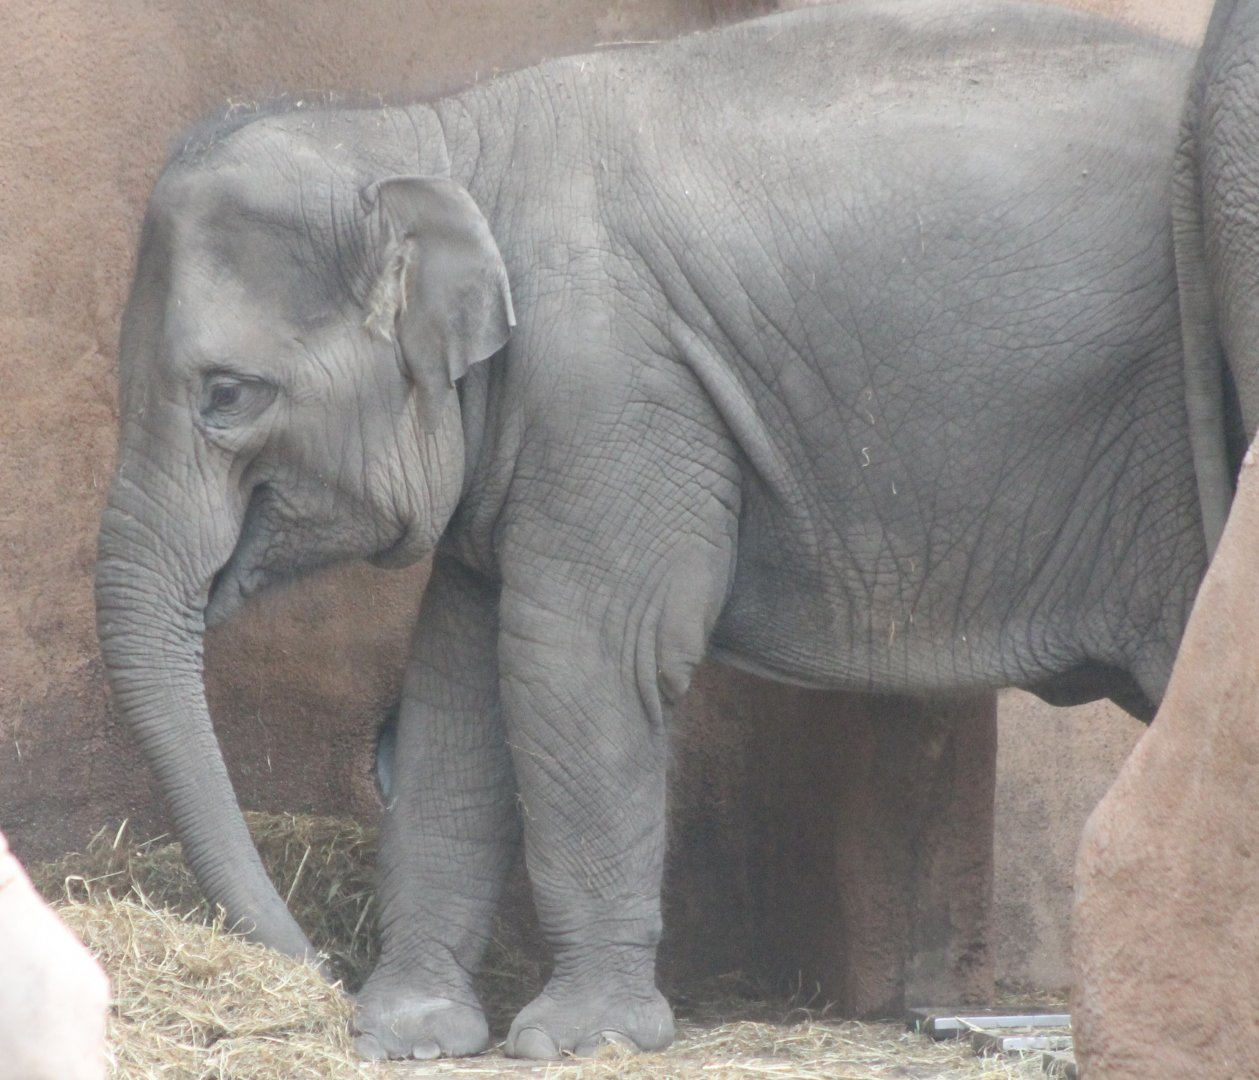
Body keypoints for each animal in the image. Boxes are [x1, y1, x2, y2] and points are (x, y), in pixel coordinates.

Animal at [95, 0, 1216, 1061]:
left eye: (227, 396)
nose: (316, 974)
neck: (440, 137)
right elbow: (457, 678)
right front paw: (407, 1032)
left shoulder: (610, 390)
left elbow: (579, 658)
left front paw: (574, 1038)